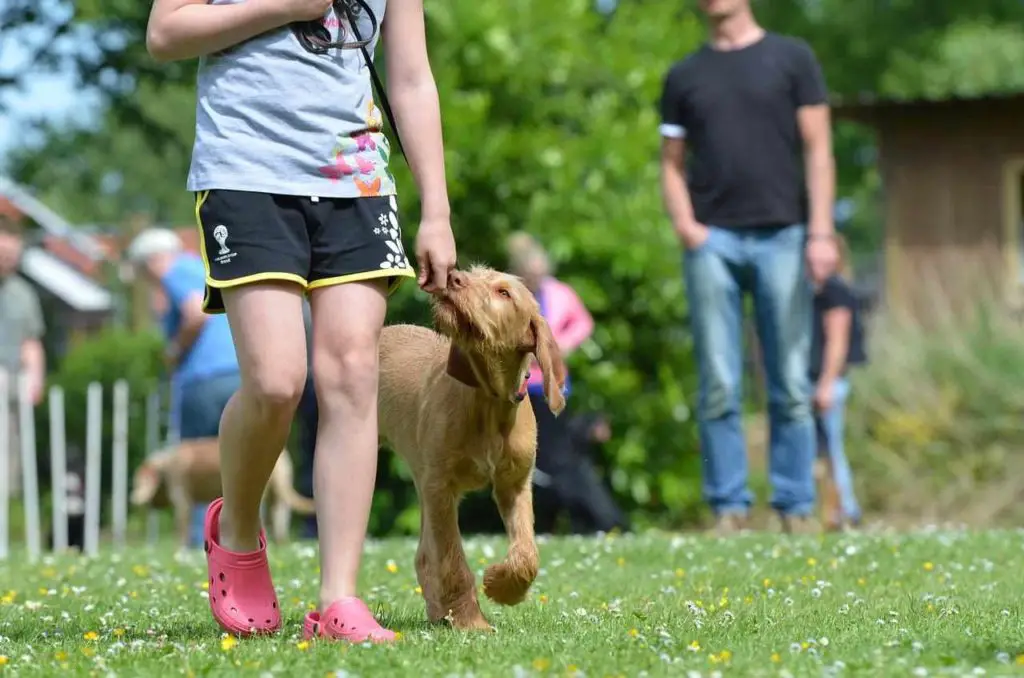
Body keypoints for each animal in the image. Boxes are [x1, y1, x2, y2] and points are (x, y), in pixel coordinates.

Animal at [378, 266, 569, 630]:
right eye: (472, 273)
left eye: (504, 293)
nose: (453, 277)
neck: (487, 401)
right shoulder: (441, 488)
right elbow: (453, 561)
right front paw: (471, 621)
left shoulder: (514, 485)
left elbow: (527, 554)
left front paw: (502, 587)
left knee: (424, 556)